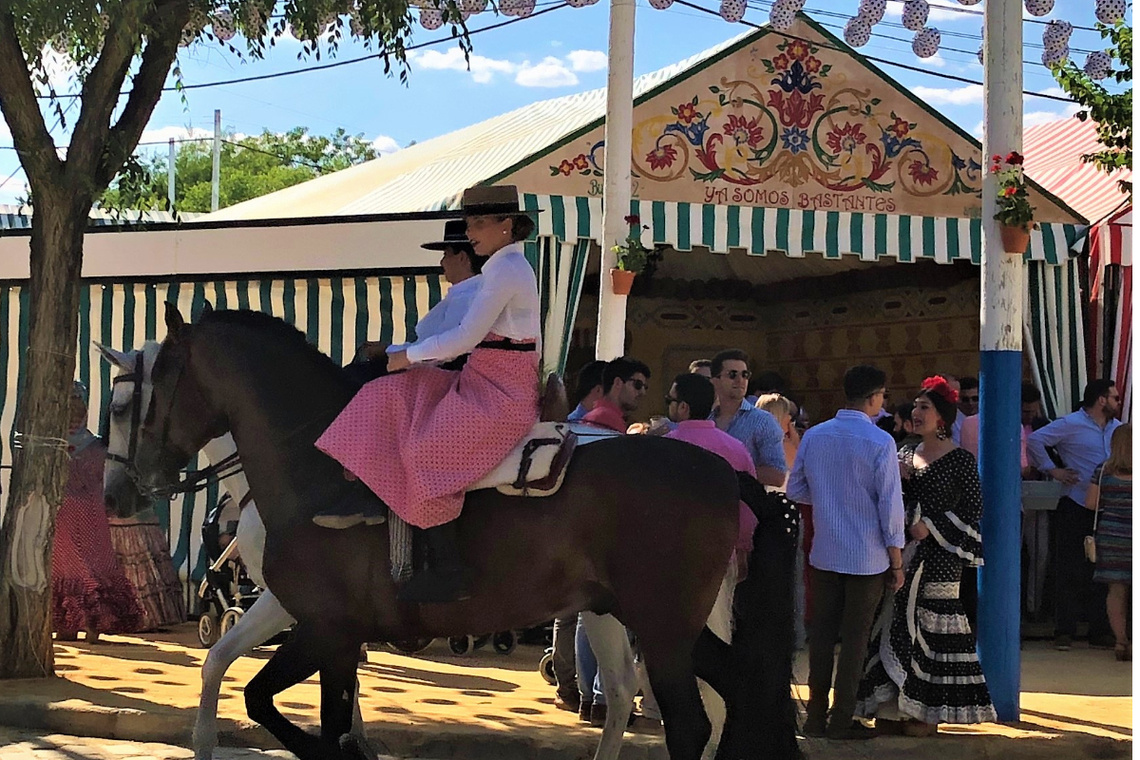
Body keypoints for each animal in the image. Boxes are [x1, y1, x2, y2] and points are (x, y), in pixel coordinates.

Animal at [133, 305, 743, 756]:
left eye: (158, 380)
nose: (141, 471)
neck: (318, 463)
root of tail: (720, 471)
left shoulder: (326, 627)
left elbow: (281, 707)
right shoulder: (323, 630)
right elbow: (281, 701)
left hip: (662, 628)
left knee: (689, 722)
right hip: (641, 618)